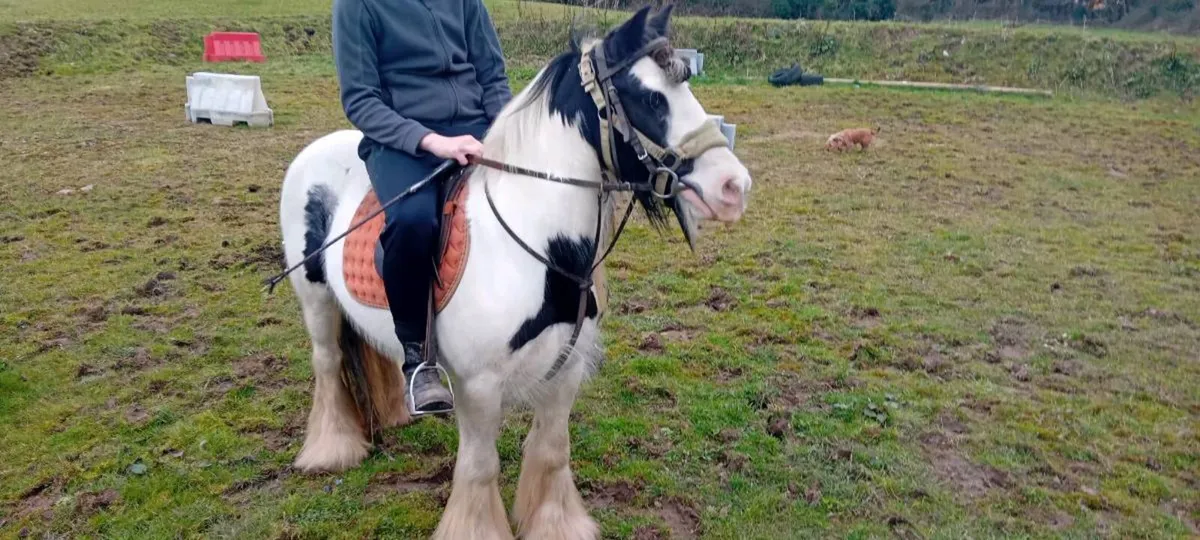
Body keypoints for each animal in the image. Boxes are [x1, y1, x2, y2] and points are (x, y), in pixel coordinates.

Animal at [275, 5, 751, 538]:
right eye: (650, 96)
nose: (734, 187)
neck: (534, 246)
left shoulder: (566, 368)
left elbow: (551, 450)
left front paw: (557, 524)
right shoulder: (479, 386)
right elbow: (481, 466)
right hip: (316, 300)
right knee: (328, 362)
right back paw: (332, 449)